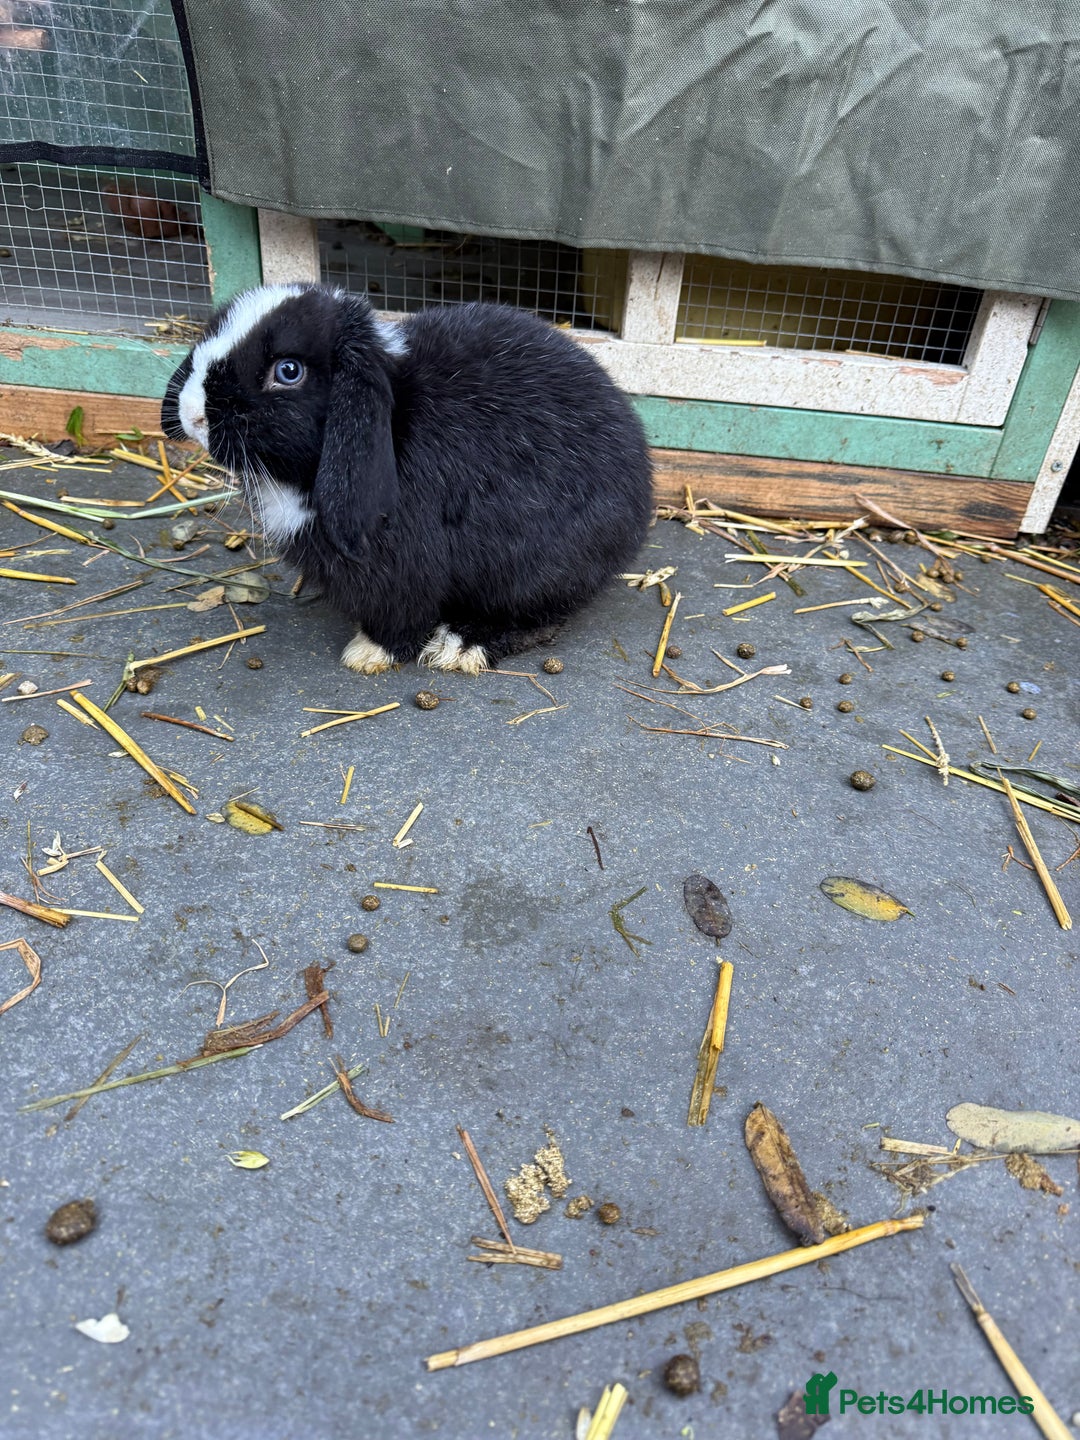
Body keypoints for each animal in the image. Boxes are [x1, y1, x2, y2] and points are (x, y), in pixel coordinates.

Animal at [162, 283, 654, 674]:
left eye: (288, 371)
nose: (191, 414)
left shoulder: (406, 569)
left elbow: (402, 616)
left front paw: (367, 653)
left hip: (533, 572)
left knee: (541, 618)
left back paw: (462, 645)